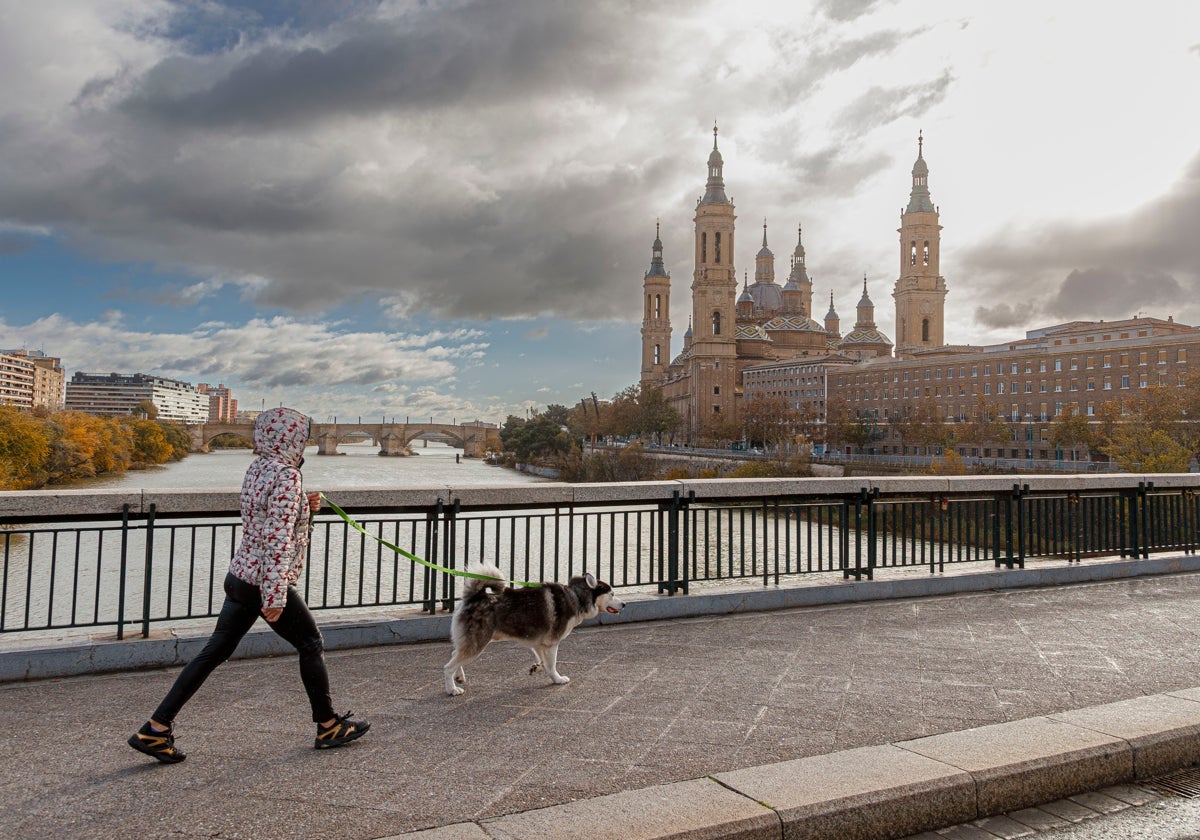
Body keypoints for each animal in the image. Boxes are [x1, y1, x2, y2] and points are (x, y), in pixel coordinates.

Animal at [444, 564, 628, 696]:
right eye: (612, 594)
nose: (625, 604)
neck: (576, 596)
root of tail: (474, 597)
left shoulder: (539, 643)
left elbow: (543, 662)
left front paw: (538, 668)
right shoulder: (552, 643)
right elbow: (552, 665)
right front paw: (557, 679)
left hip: (471, 641)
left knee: (454, 654)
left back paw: (459, 677)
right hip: (477, 643)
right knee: (448, 666)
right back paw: (452, 689)